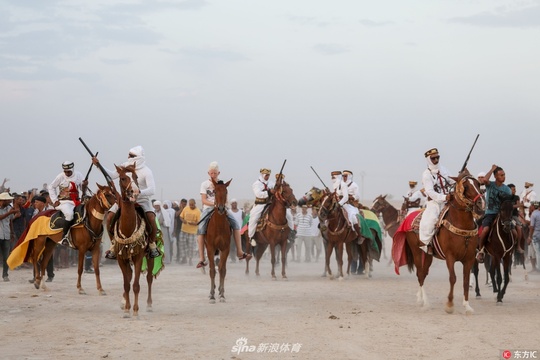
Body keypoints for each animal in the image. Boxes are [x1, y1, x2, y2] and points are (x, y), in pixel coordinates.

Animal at [113, 165, 155, 316]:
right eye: (122, 178)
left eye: (136, 177)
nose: (135, 192)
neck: (128, 228)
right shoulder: (121, 258)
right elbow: (126, 284)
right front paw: (126, 309)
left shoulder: (139, 256)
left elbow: (136, 285)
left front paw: (136, 311)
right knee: (130, 277)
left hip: (149, 256)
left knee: (149, 278)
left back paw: (149, 305)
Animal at [392, 170, 486, 314]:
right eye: (465, 186)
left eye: (478, 184)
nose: (481, 203)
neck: (462, 225)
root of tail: (408, 218)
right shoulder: (450, 257)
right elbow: (453, 278)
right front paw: (449, 305)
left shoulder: (469, 258)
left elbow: (465, 281)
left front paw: (467, 306)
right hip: (416, 252)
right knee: (420, 274)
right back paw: (424, 302)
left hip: (428, 255)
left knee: (424, 273)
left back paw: (420, 298)